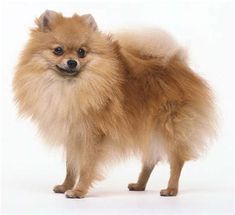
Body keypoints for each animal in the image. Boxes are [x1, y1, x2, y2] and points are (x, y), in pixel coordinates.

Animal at [12, 10, 216, 198]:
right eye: (58, 50)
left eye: (81, 52)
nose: (72, 62)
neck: (69, 88)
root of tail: (178, 64)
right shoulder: (73, 134)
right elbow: (71, 166)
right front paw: (65, 186)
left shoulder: (91, 135)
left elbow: (85, 167)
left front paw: (78, 191)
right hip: (148, 129)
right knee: (150, 160)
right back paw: (139, 185)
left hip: (170, 128)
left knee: (176, 161)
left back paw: (171, 189)